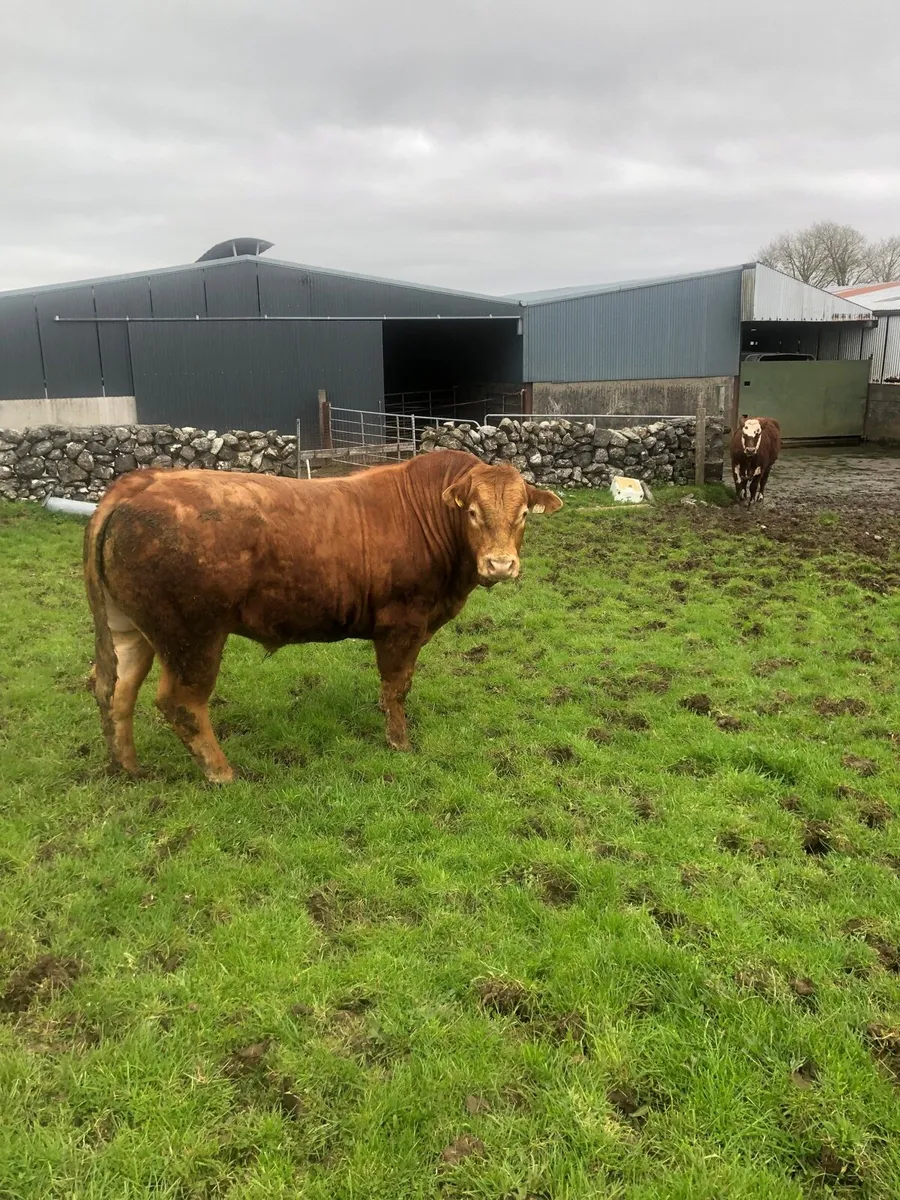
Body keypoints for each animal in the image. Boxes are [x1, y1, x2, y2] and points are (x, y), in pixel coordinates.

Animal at [83, 450, 563, 783]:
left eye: (523, 514)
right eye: (473, 512)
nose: (500, 565)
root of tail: (143, 482)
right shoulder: (402, 624)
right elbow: (398, 686)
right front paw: (399, 742)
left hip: (131, 629)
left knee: (115, 689)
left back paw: (127, 766)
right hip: (192, 637)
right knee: (180, 703)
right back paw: (222, 773)